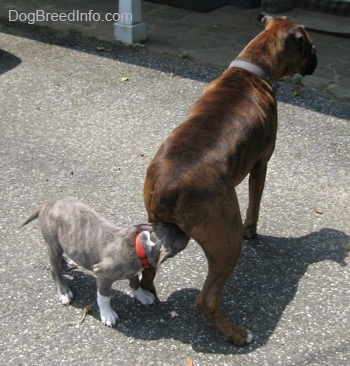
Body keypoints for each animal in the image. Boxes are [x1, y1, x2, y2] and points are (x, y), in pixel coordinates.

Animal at [20, 196, 187, 328]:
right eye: (184, 235)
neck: (140, 245)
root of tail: (46, 204)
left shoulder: (132, 270)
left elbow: (134, 282)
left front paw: (141, 295)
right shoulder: (102, 275)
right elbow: (104, 297)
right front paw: (107, 314)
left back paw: (67, 263)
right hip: (53, 244)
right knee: (54, 270)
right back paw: (64, 292)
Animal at [142, 15, 318, 346]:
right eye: (312, 46)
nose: (317, 58)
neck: (250, 68)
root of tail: (169, 187)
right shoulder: (261, 164)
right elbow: (255, 201)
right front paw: (253, 231)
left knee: (148, 270)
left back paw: (145, 294)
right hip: (227, 242)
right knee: (207, 299)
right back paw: (236, 333)